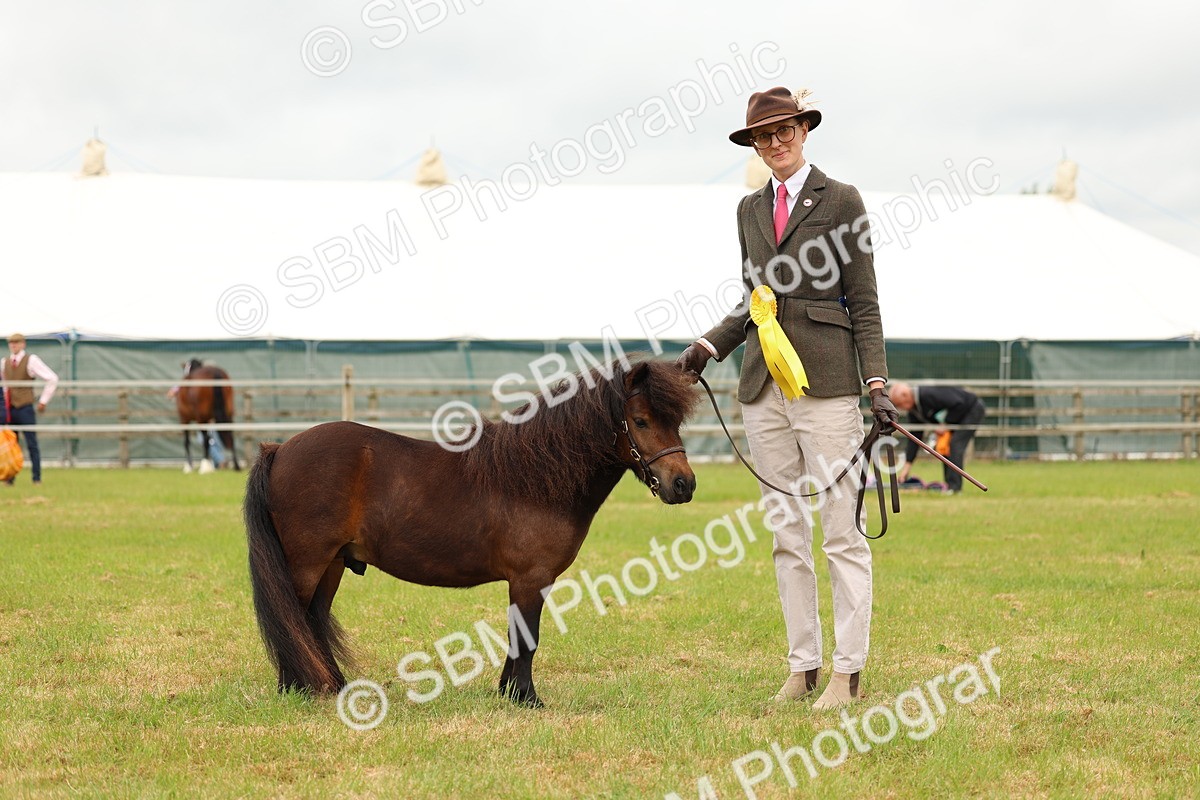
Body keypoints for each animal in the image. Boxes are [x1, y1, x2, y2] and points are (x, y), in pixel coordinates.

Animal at [244, 358, 699, 708]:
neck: (535, 478)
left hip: (333, 564)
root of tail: (280, 449)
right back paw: (296, 690)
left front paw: (510, 694)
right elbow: (528, 638)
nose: (684, 485)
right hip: (307, 562)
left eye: (676, 421)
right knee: (292, 617)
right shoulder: (531, 579)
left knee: (312, 619)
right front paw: (527, 699)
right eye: (640, 421)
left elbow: (518, 637)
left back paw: (330, 687)